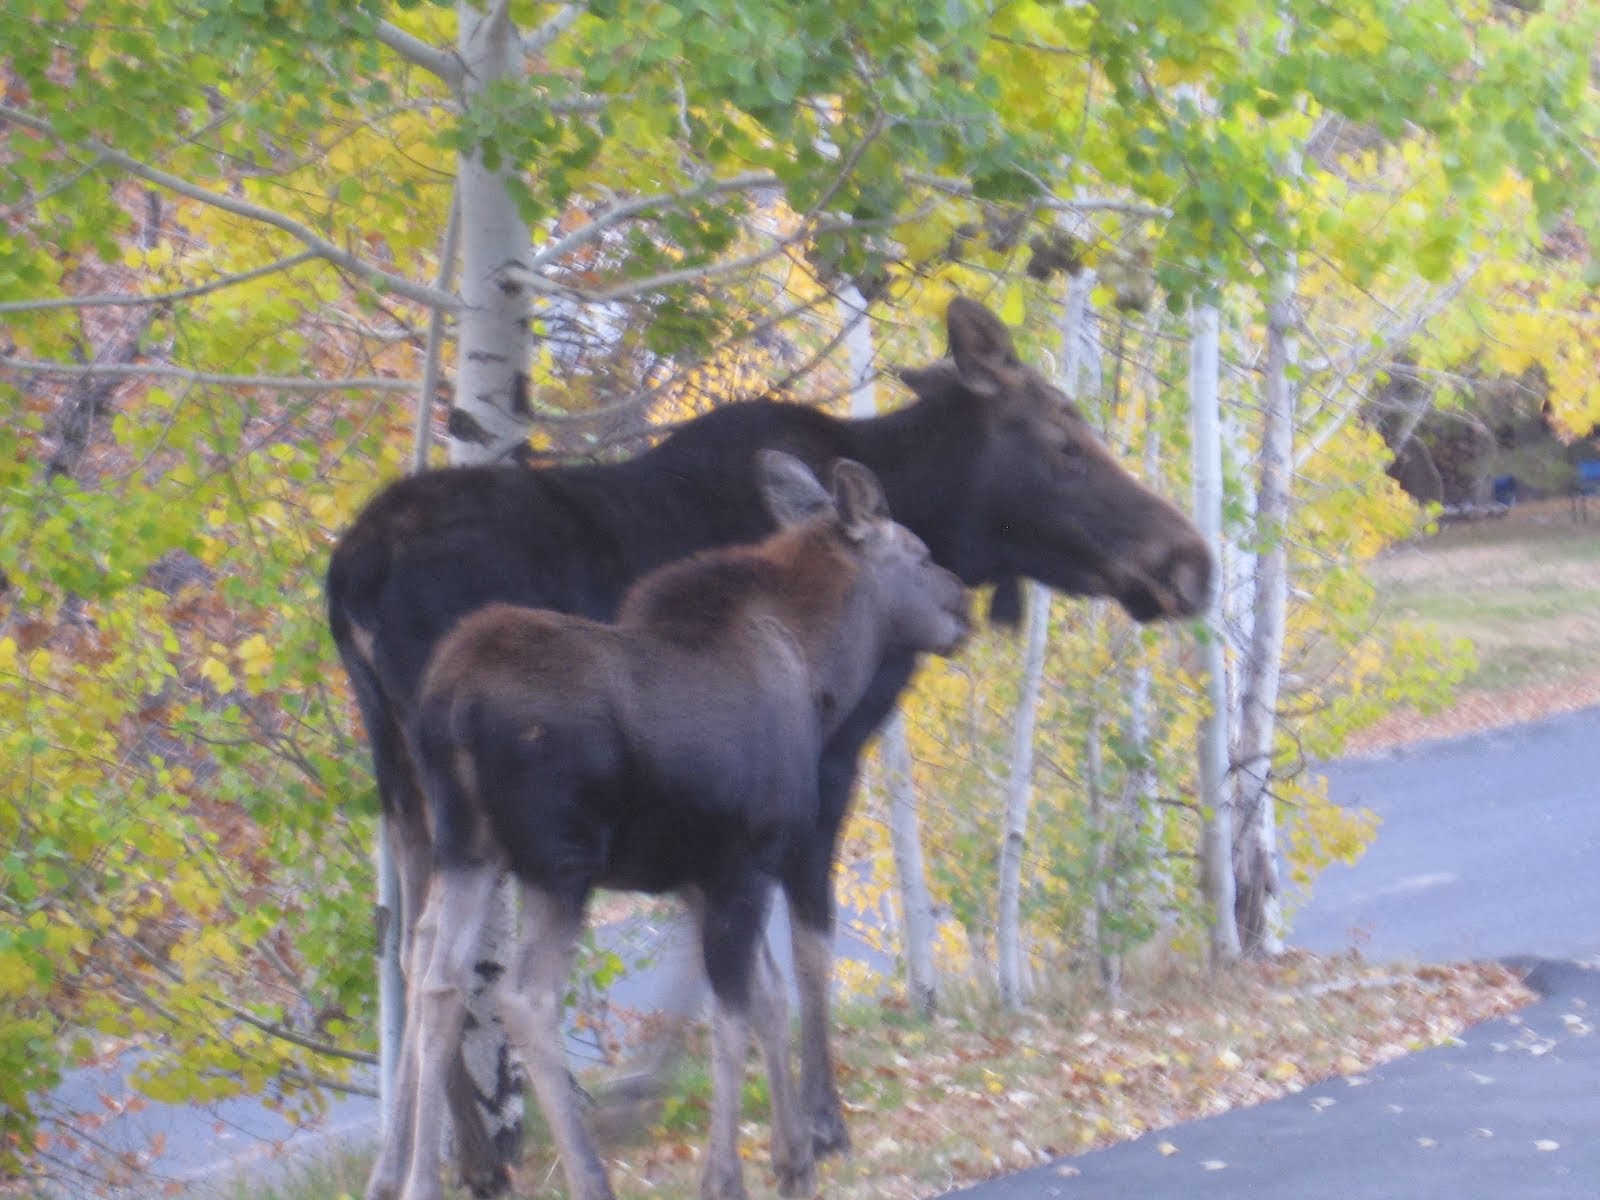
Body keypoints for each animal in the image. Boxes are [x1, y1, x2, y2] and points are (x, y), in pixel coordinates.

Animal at [382, 454, 966, 1200]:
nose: (962, 607)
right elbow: (733, 1015)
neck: (820, 670)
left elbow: (766, 999)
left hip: (468, 850)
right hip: (561, 860)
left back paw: (423, 1180)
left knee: (436, 978)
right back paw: (590, 1177)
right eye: (919, 555)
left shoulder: (696, 874)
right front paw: (731, 1174)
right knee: (526, 997)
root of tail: (448, 712)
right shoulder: (746, 859)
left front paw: (793, 1158)